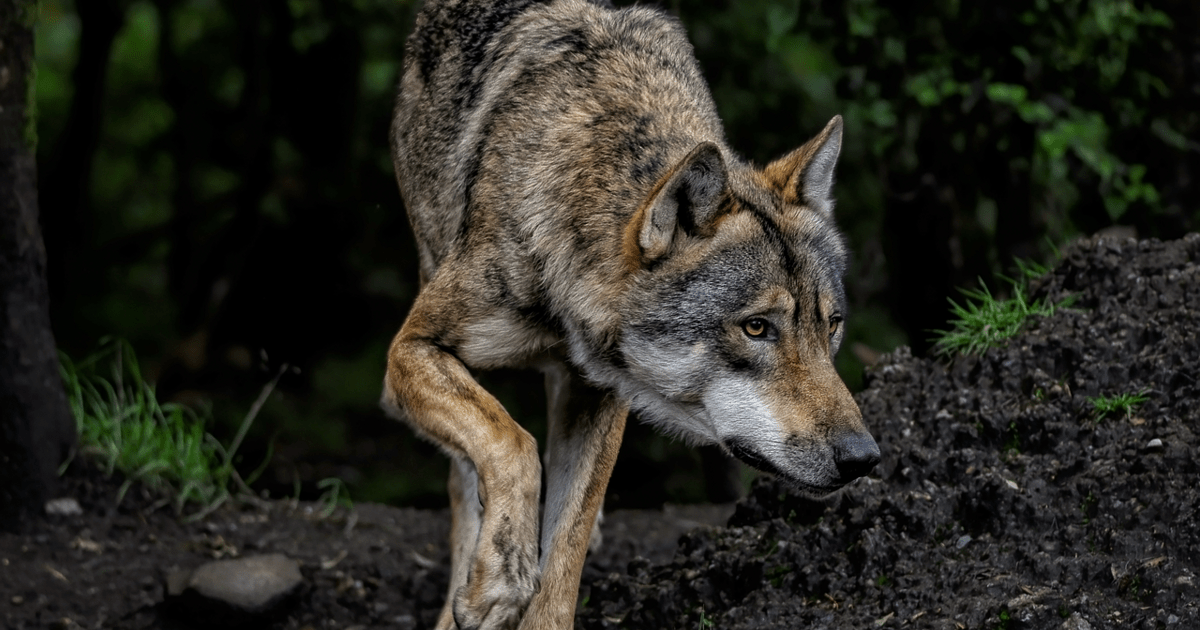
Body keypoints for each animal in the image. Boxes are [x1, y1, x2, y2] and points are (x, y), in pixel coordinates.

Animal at [382, 1, 881, 628]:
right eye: (756, 327)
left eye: (830, 325)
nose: (864, 458)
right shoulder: (410, 351)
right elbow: (511, 443)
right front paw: (496, 582)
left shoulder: (600, 393)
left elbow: (564, 551)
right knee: (466, 473)